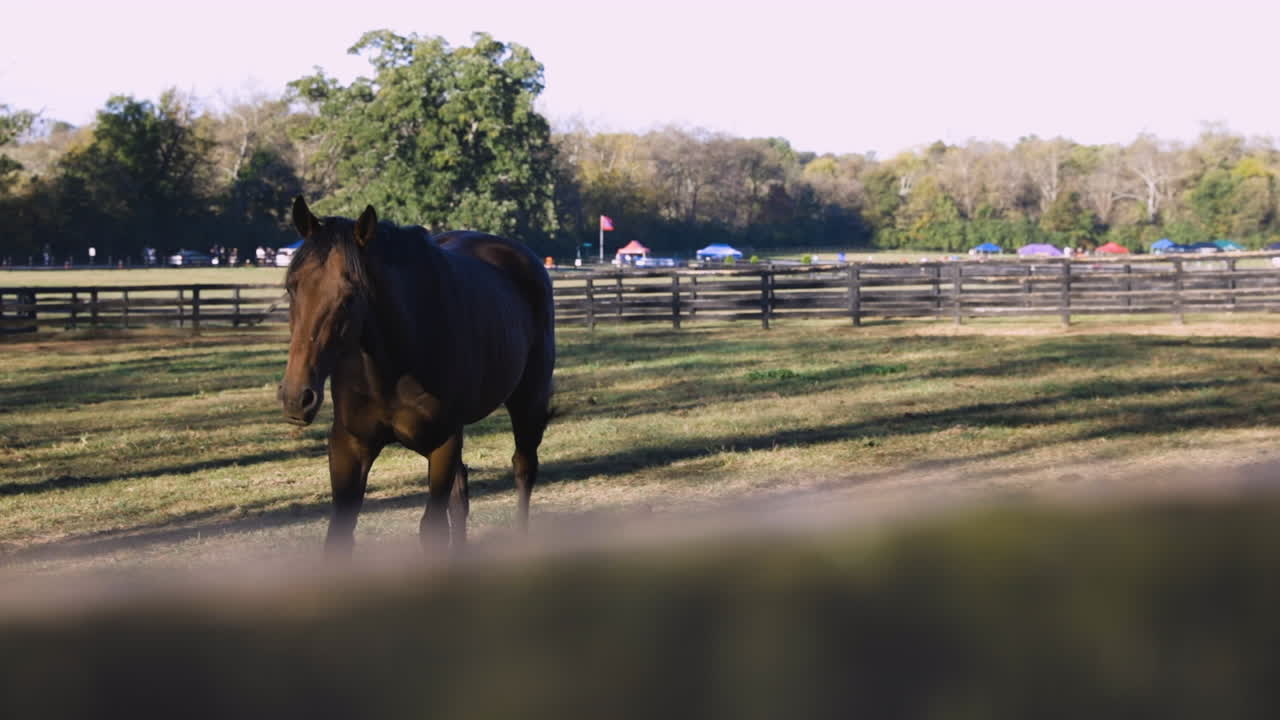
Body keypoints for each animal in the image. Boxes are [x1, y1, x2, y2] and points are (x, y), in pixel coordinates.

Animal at [277, 196, 555, 554]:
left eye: (350, 295)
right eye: (292, 287)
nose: (296, 398)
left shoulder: (443, 442)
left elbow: (432, 529)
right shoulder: (350, 445)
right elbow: (339, 535)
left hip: (527, 400)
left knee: (523, 468)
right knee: (462, 497)